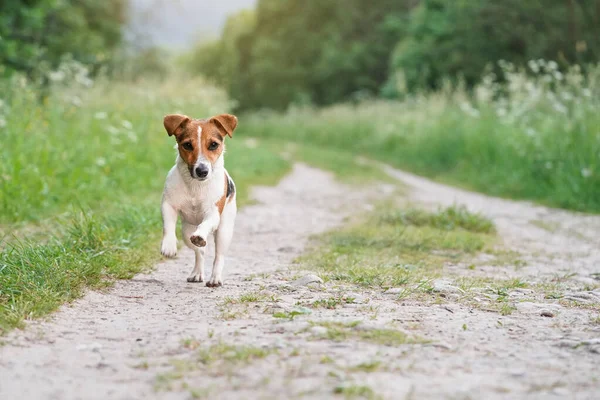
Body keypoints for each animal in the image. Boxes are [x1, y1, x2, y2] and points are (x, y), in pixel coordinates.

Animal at [161, 113, 238, 288]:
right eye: (188, 145)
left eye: (213, 145)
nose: (202, 171)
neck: (195, 186)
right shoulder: (169, 204)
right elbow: (168, 225)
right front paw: (169, 245)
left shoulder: (213, 213)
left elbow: (206, 224)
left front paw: (201, 234)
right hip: (186, 232)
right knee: (199, 252)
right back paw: (197, 273)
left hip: (224, 231)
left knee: (218, 256)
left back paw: (215, 278)